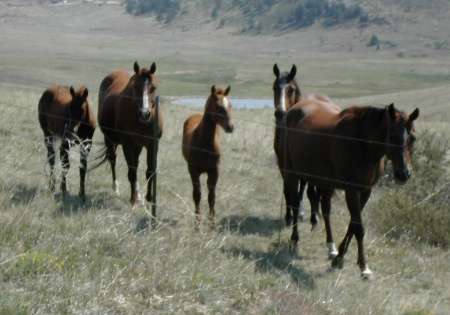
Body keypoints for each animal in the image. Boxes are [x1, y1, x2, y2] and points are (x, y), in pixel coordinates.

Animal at [96, 60, 163, 216]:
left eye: (153, 87)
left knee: (136, 164)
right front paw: (133, 201)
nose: (145, 114)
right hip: (110, 140)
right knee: (113, 160)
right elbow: (132, 172)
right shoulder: (128, 145)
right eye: (135, 87)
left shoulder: (152, 144)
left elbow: (150, 170)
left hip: (138, 146)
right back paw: (116, 187)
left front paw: (149, 198)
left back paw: (138, 194)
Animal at [181, 85, 234, 226]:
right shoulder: (193, 171)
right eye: (218, 106)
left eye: (230, 105)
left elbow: (212, 196)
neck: (204, 144)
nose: (230, 127)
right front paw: (197, 221)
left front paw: (212, 222)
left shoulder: (214, 171)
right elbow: (197, 195)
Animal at [272, 63, 340, 260]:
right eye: (274, 87)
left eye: (291, 89)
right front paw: (290, 217)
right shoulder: (285, 167)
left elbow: (303, 193)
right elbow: (290, 193)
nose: (280, 112)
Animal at [284, 100, 418, 278]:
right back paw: (294, 240)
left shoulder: (365, 190)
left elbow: (353, 225)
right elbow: (359, 228)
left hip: (325, 182)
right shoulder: (351, 191)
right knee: (295, 203)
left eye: (414, 138)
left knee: (325, 210)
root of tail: (295, 108)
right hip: (292, 173)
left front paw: (339, 257)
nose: (403, 174)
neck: (363, 145)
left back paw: (331, 247)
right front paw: (363, 266)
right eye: (391, 136)